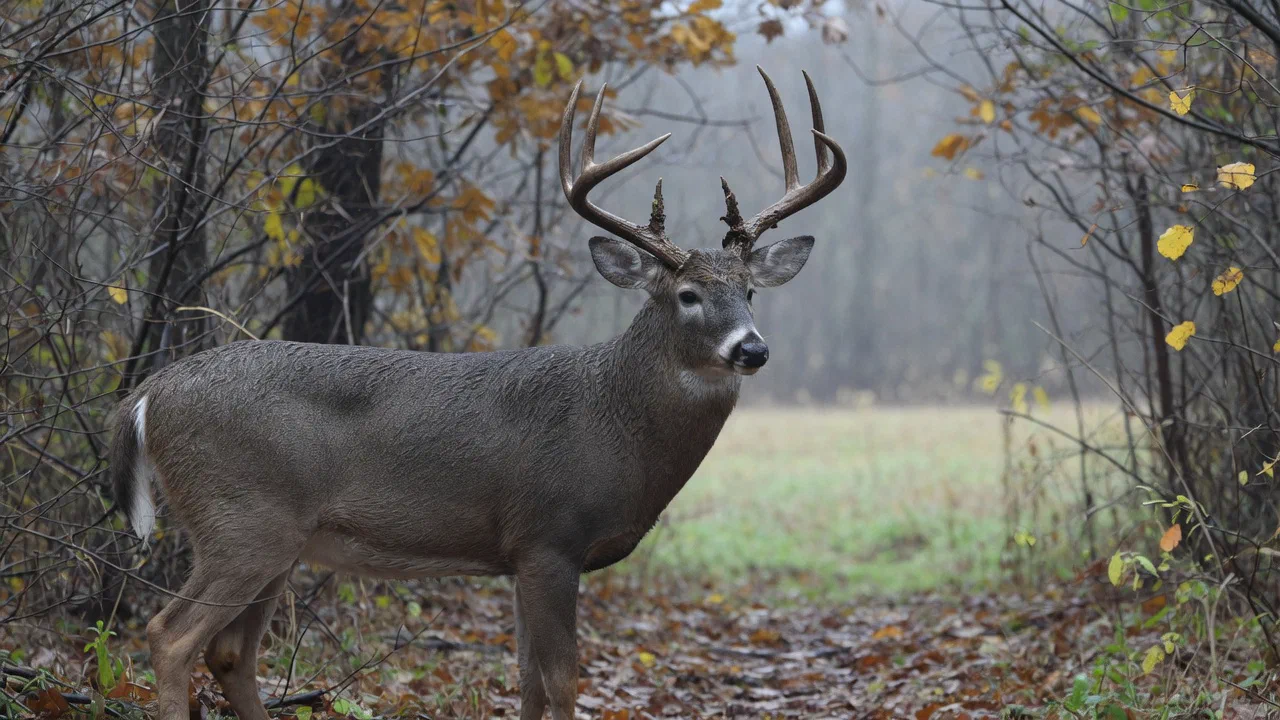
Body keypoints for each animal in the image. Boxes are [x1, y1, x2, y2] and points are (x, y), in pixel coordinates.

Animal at [108, 66, 846, 720]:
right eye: (688, 295)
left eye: (748, 291)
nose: (751, 349)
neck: (612, 422)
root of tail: (149, 394)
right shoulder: (549, 536)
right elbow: (561, 683)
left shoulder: (518, 555)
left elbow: (527, 682)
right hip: (242, 518)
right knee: (170, 636)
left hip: (277, 539)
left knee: (230, 653)